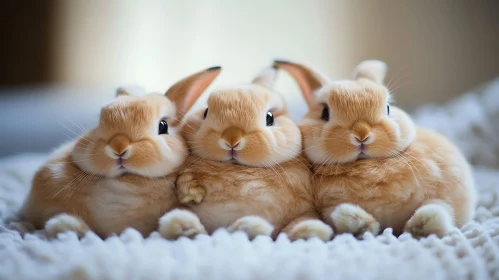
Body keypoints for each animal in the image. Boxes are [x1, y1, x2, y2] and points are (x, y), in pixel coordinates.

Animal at [19, 66, 222, 238]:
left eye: (163, 126)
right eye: (99, 122)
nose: (119, 147)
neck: (127, 182)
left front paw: (186, 226)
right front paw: (66, 225)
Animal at [158, 66, 334, 241]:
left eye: (270, 117)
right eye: (206, 112)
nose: (232, 139)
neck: (238, 168)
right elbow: (188, 177)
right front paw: (191, 195)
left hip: (303, 215)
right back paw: (188, 228)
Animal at [276, 60, 478, 237]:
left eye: (388, 108)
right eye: (325, 113)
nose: (362, 134)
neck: (369, 165)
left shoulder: (449, 195)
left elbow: (440, 207)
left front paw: (423, 223)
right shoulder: (328, 208)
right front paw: (353, 219)